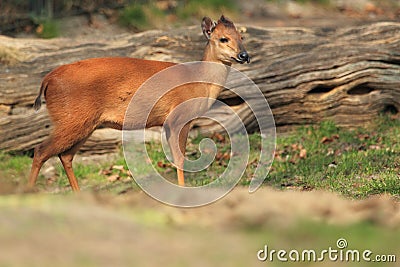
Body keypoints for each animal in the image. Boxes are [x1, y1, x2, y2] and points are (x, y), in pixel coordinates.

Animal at [28, 15, 248, 192]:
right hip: (72, 119)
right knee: (40, 151)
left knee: (65, 156)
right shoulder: (178, 118)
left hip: (84, 124)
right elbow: (179, 158)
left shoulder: (169, 123)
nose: (244, 56)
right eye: (223, 38)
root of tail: (47, 80)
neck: (200, 83)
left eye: (241, 37)